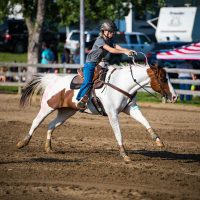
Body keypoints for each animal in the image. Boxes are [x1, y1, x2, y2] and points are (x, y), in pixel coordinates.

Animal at [16, 62, 177, 162]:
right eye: (163, 78)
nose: (174, 96)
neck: (121, 84)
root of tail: (52, 80)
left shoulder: (130, 108)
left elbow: (145, 121)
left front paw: (158, 141)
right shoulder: (112, 114)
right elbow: (118, 133)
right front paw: (124, 155)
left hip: (67, 112)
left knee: (51, 125)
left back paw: (49, 148)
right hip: (47, 107)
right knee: (36, 122)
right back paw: (22, 142)